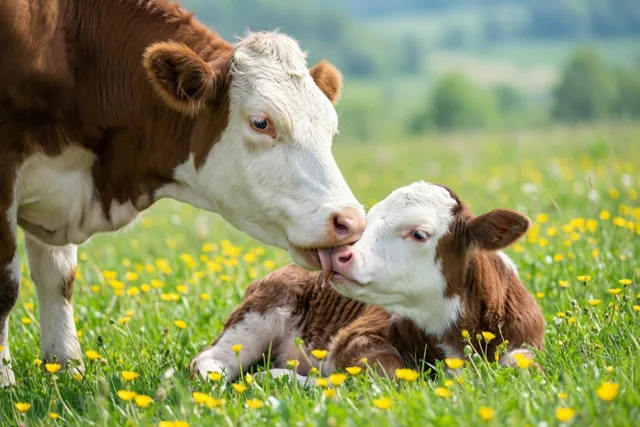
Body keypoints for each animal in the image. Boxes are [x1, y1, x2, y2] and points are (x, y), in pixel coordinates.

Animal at [0, 0, 366, 386]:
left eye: (331, 128)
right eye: (261, 122)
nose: (351, 221)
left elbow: (58, 278)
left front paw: (66, 368)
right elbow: (6, 285)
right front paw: (6, 381)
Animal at [193, 182, 543, 382]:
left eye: (418, 233)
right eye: (370, 219)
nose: (338, 254)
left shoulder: (528, 340)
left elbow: (522, 367)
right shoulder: (354, 338)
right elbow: (396, 374)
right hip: (259, 312)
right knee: (210, 361)